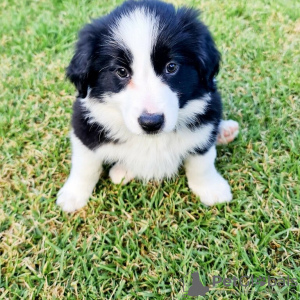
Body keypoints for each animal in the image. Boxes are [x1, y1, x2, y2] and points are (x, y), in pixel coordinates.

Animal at [56, 0, 239, 213]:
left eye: (171, 67)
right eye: (121, 71)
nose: (151, 123)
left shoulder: (207, 116)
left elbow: (202, 160)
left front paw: (211, 188)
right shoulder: (84, 125)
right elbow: (85, 164)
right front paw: (73, 195)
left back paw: (225, 131)